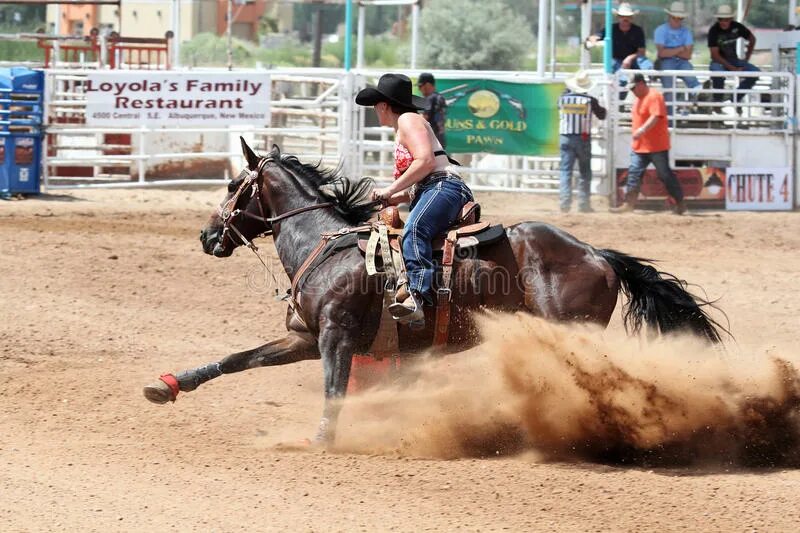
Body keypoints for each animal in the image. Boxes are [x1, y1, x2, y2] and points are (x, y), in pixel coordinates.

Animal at [144, 139, 724, 442]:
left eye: (232, 185)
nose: (207, 236)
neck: (327, 246)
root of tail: (598, 255)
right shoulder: (305, 339)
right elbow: (236, 360)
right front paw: (168, 385)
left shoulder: (335, 337)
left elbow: (334, 389)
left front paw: (324, 439)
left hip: (571, 332)